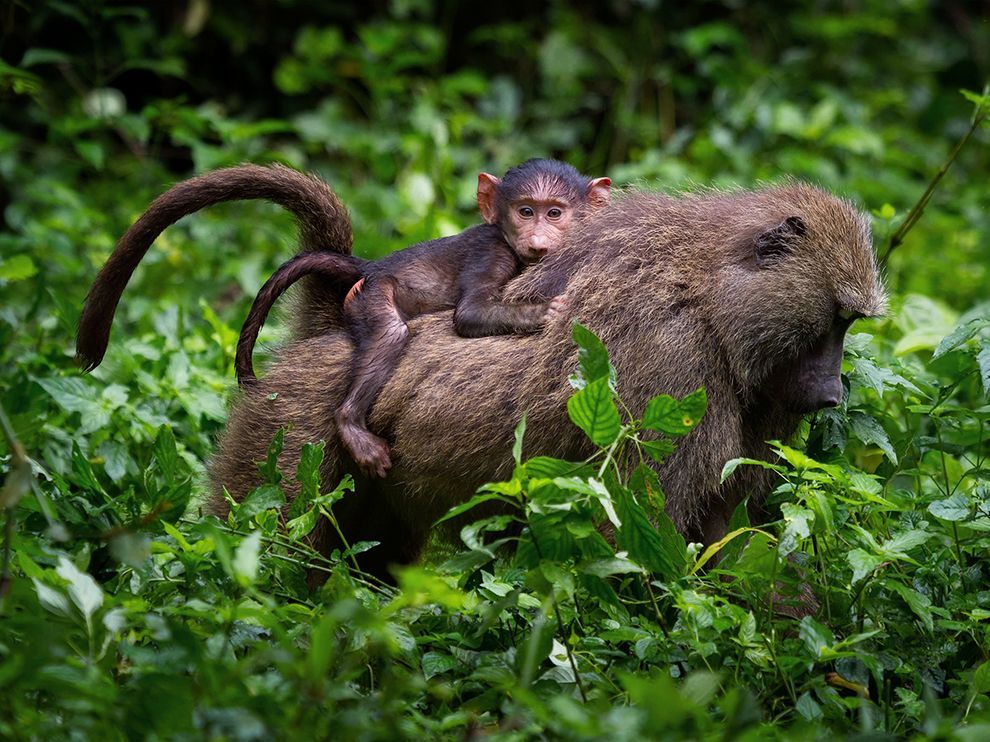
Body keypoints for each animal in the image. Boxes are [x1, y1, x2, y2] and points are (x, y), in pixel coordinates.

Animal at [233, 159, 612, 479]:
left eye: (554, 213)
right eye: (526, 211)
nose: (537, 240)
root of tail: (371, 268)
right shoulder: (493, 250)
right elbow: (470, 313)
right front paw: (546, 311)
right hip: (370, 296)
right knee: (390, 333)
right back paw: (350, 422)